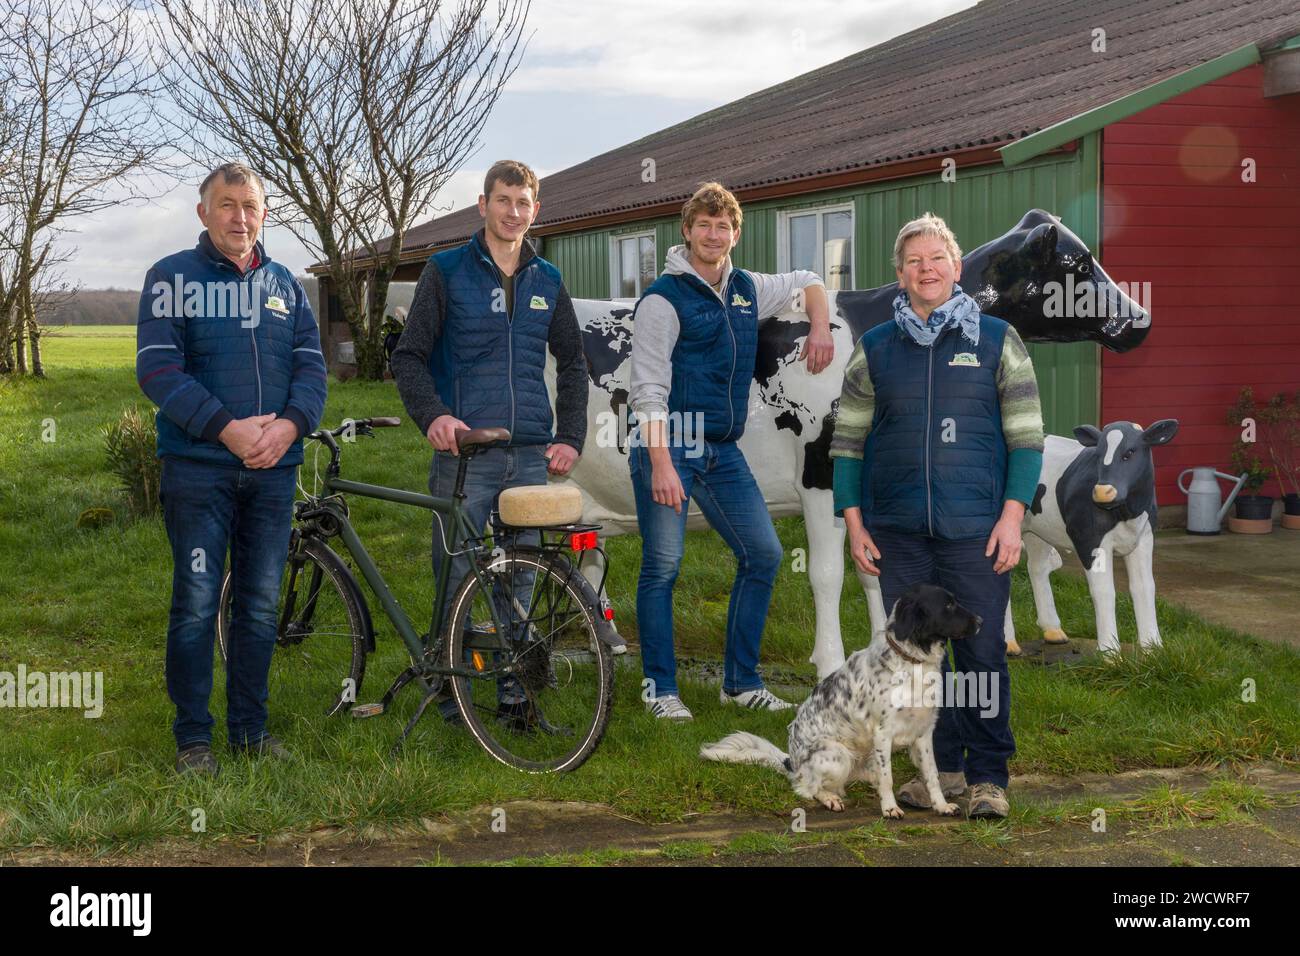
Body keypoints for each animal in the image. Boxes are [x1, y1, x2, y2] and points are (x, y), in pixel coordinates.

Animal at [702, 587, 977, 816]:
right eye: (949, 605)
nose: (981, 621)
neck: (912, 664)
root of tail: (792, 762)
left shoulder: (923, 733)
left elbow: (932, 774)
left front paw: (941, 805)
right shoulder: (883, 733)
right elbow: (887, 778)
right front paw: (889, 808)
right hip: (837, 755)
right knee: (807, 787)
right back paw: (829, 798)